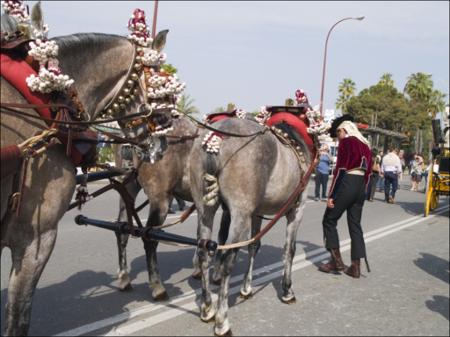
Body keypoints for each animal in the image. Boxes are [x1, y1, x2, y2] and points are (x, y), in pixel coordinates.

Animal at [188, 115, 314, 334]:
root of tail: (217, 137)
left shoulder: (257, 213)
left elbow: (254, 246)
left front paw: (246, 287)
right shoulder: (297, 211)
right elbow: (289, 249)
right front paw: (287, 289)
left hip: (205, 210)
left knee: (204, 253)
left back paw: (207, 307)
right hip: (240, 214)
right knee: (227, 259)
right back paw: (222, 320)